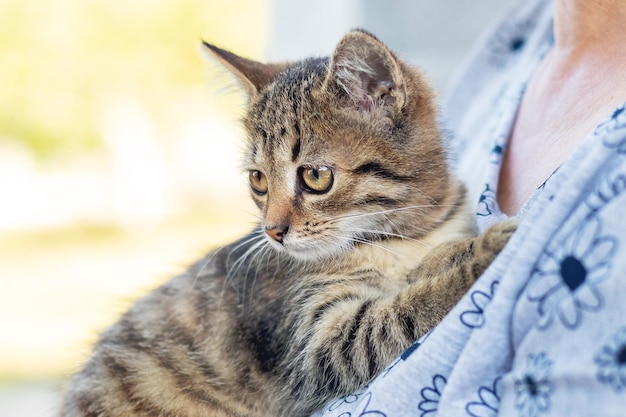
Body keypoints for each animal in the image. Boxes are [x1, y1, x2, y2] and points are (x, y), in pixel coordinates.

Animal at [61, 29, 516, 416]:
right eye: (258, 180)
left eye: (315, 176)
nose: (273, 231)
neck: (401, 233)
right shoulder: (317, 345)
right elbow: (401, 311)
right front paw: (488, 253)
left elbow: (423, 271)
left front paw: (458, 253)